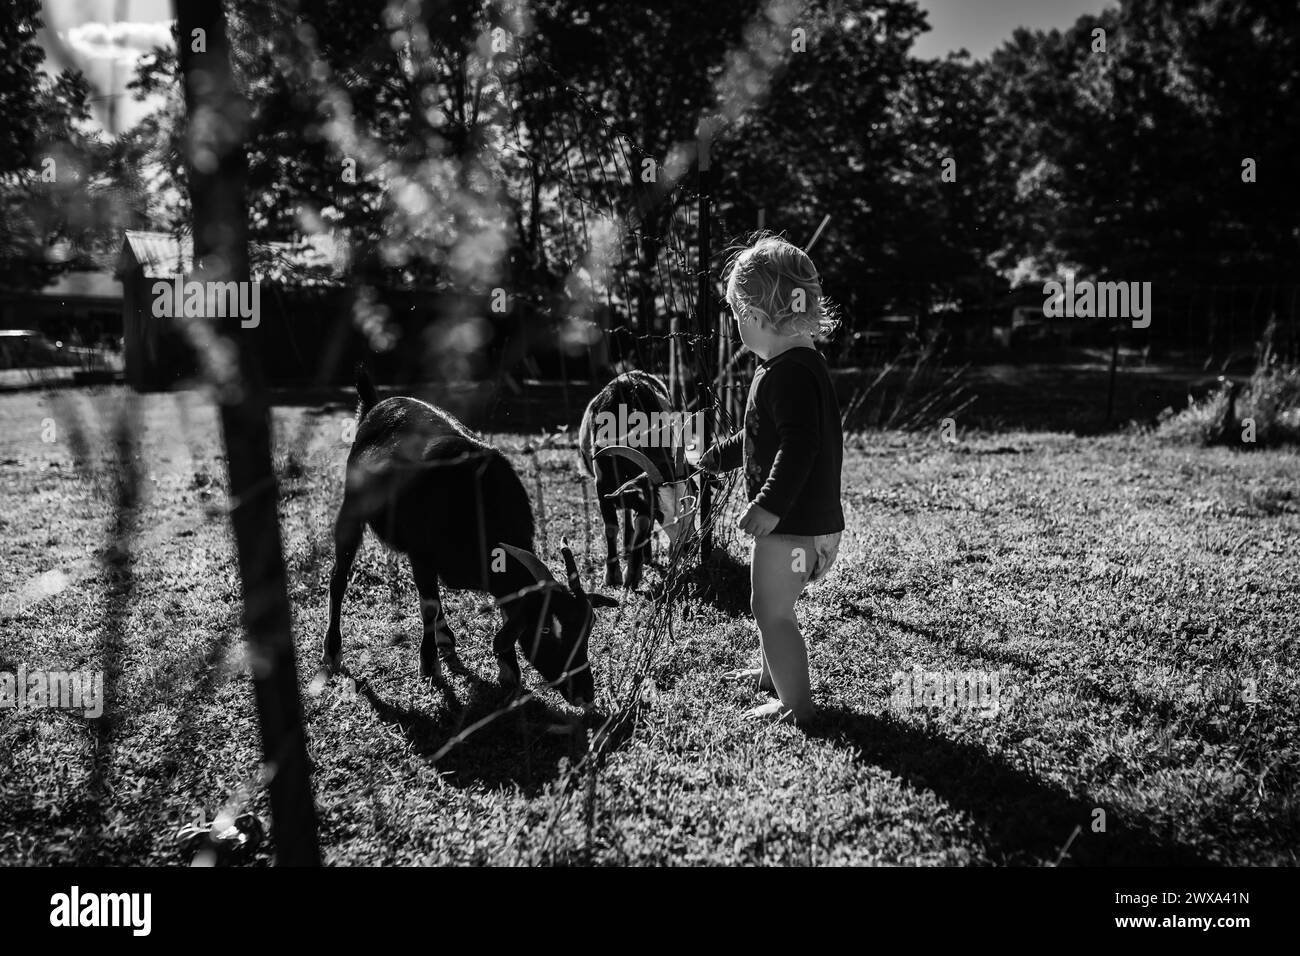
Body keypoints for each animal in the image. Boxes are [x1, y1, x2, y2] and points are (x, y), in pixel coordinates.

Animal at [318, 369, 613, 707]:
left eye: (588, 630)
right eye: (547, 631)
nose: (585, 694)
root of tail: (374, 406)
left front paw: (508, 671)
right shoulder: (421, 554)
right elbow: (428, 606)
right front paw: (429, 665)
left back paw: (445, 637)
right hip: (351, 508)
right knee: (339, 577)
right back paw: (333, 651)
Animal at [579, 371, 702, 590]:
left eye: (692, 499)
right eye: (660, 512)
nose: (690, 545)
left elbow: (643, 523)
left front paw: (632, 574)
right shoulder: (602, 485)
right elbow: (611, 527)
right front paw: (612, 576)